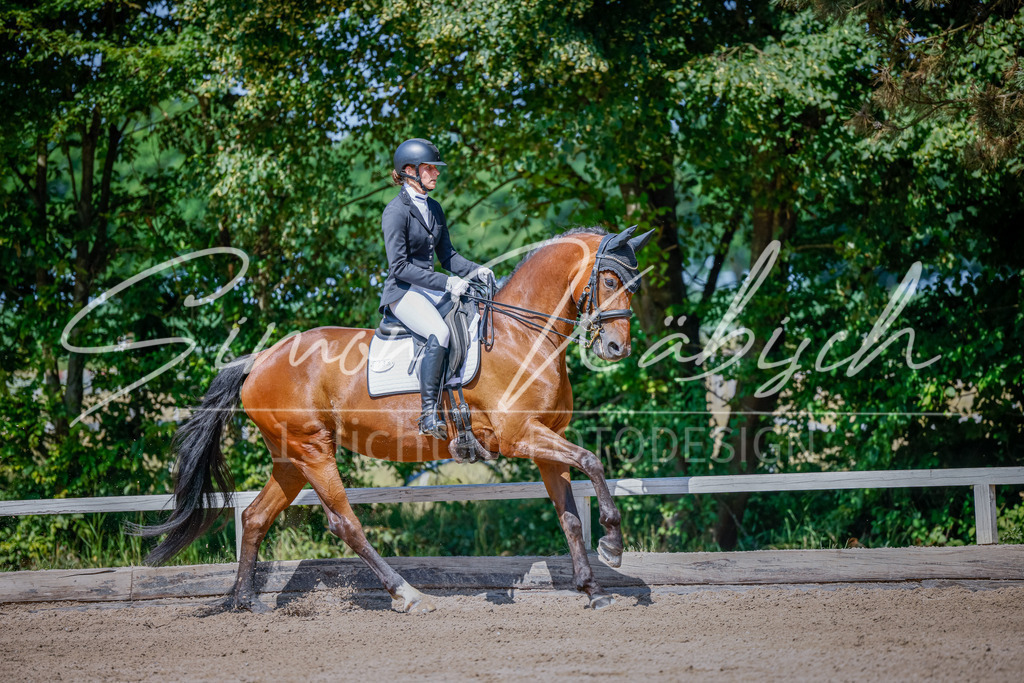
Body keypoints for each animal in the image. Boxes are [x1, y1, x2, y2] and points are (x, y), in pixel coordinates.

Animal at [135, 225, 655, 611]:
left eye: (634, 285)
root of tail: (260, 359)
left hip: (290, 457)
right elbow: (592, 461)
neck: (522, 336)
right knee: (344, 523)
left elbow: (569, 516)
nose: (616, 348)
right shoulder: (519, 435)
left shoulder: (545, 440)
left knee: (256, 516)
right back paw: (407, 594)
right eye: (610, 281)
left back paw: (245, 602)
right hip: (313, 449)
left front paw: (593, 589)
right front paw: (613, 544)